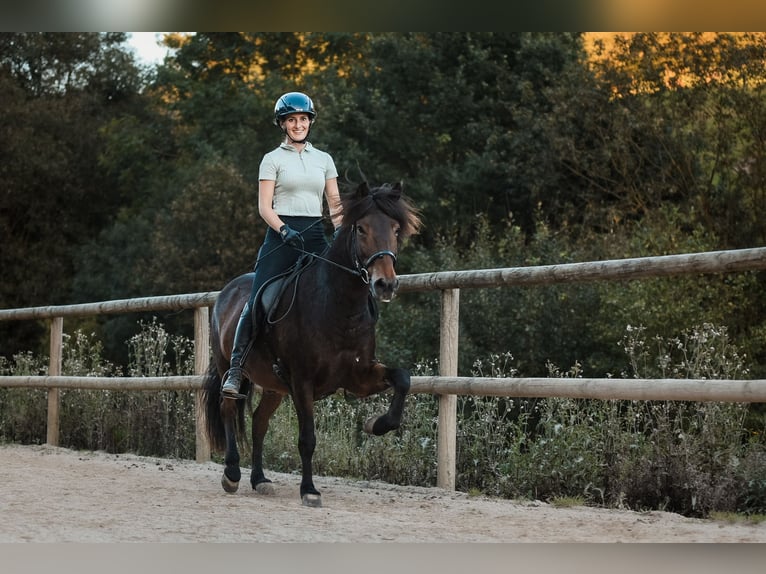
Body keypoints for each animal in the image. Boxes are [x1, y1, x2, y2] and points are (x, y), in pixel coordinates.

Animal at [201, 180, 424, 508]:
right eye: (361, 228)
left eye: (396, 229)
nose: (385, 285)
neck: (339, 307)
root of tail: (227, 291)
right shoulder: (302, 381)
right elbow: (307, 438)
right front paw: (309, 490)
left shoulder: (359, 376)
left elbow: (403, 378)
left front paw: (376, 425)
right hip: (229, 367)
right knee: (228, 408)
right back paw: (232, 474)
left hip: (273, 386)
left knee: (258, 422)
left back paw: (260, 480)